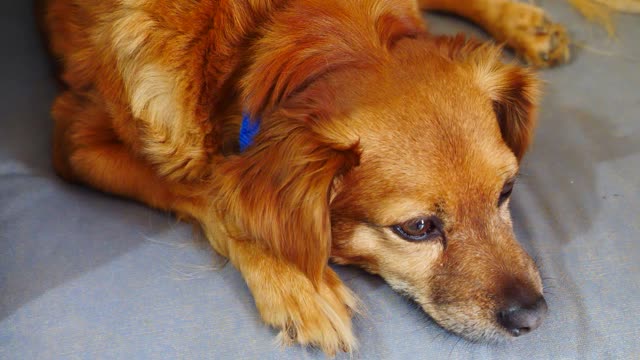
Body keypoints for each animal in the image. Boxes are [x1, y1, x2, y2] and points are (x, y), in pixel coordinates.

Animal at [43, 0, 568, 354]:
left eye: (507, 191)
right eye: (417, 228)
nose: (533, 317)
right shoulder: (76, 139)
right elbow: (210, 189)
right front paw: (299, 284)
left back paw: (526, 24)